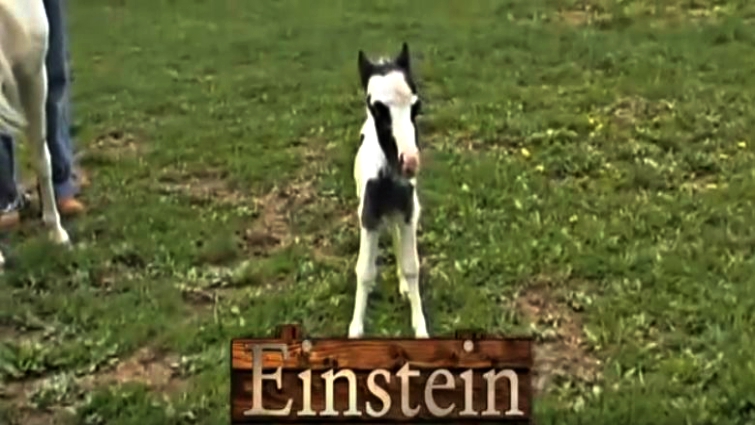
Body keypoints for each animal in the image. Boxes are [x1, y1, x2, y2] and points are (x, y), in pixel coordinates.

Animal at [349, 42, 428, 338]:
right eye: (377, 109)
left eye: (416, 107)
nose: (410, 162)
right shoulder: (368, 215)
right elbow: (364, 271)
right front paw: (355, 329)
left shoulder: (409, 211)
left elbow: (412, 266)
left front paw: (421, 327)